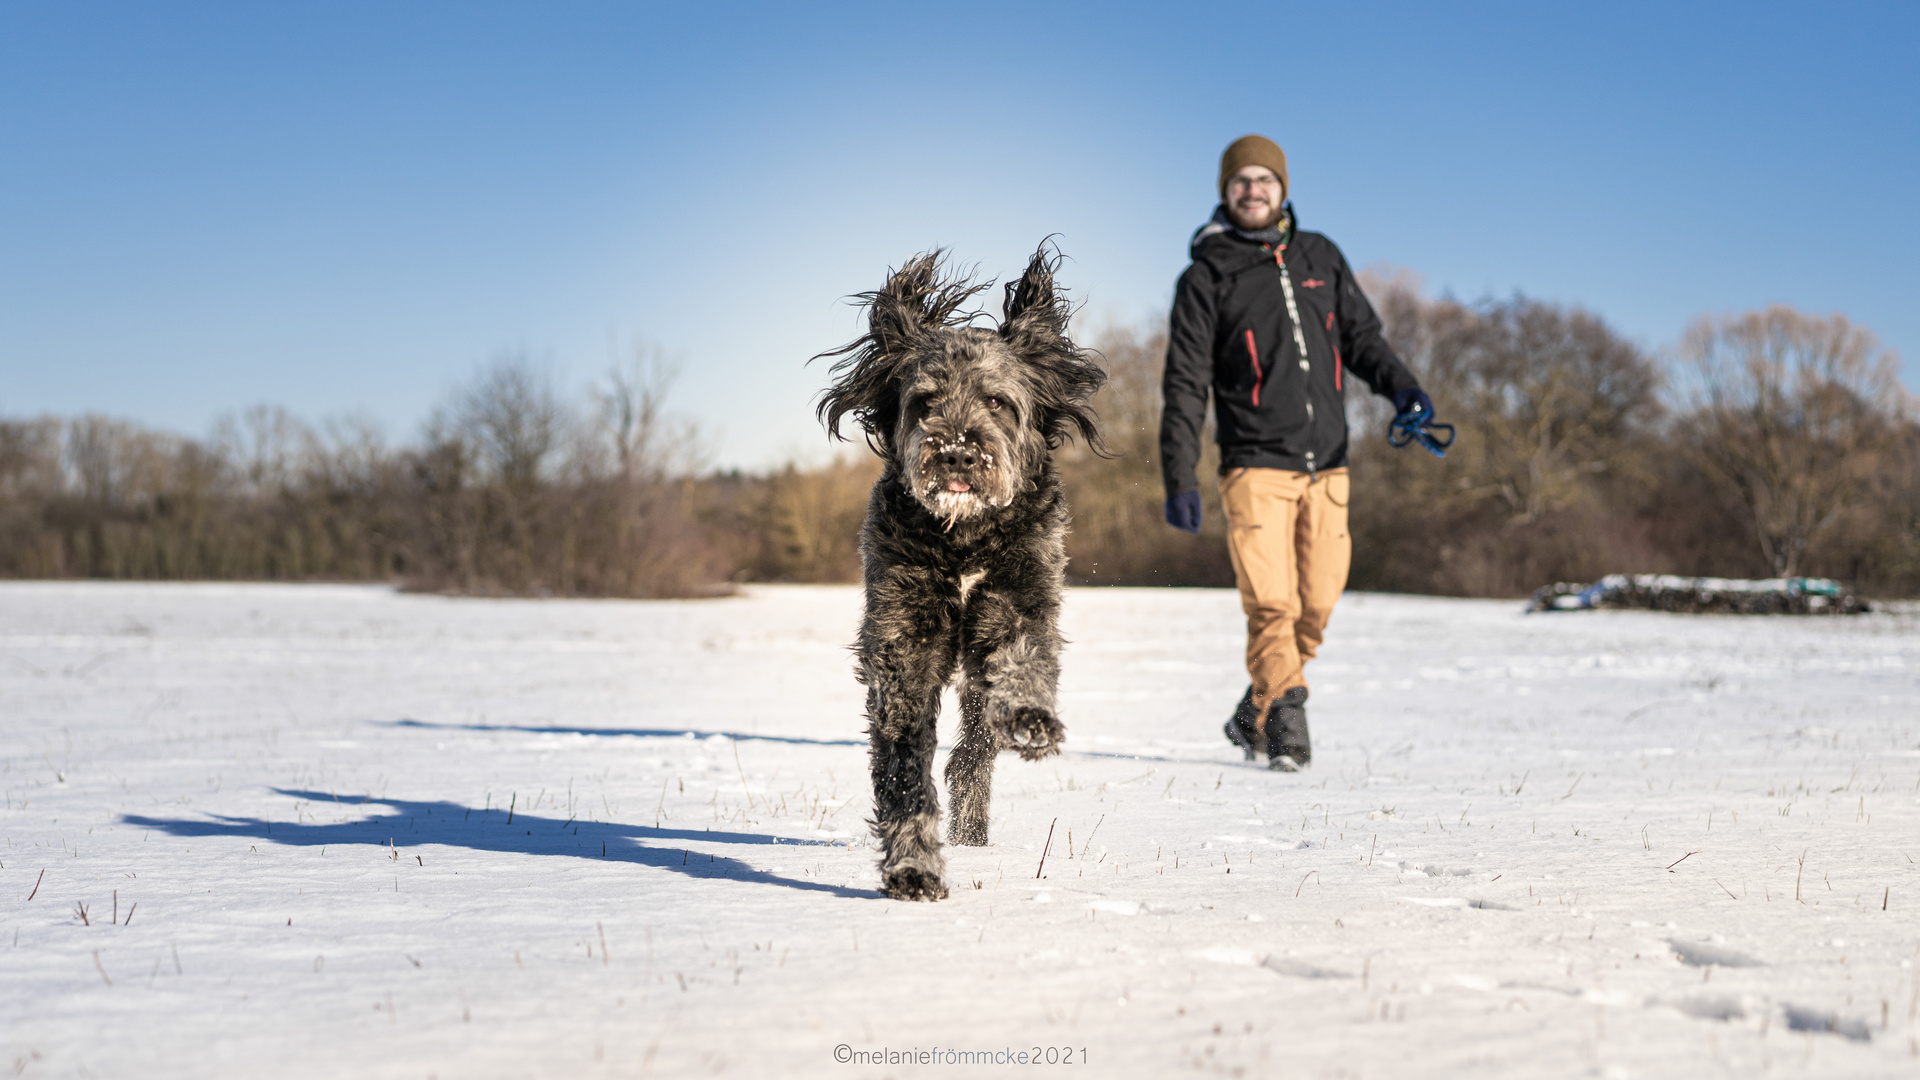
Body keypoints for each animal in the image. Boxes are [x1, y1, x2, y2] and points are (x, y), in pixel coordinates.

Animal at [814, 244, 1113, 899]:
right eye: (924, 402)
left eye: (997, 401)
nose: (955, 451)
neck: (963, 540)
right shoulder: (903, 643)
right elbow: (903, 768)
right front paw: (912, 867)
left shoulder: (1020, 599)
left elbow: (1023, 662)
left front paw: (1031, 720)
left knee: (974, 751)